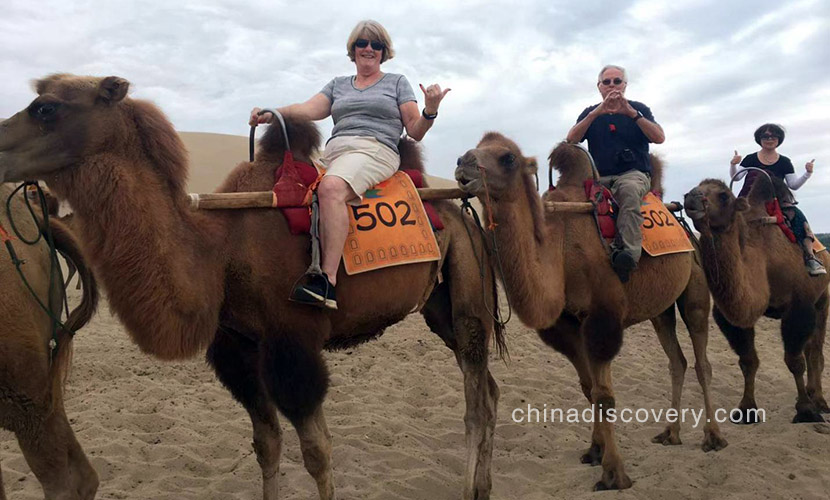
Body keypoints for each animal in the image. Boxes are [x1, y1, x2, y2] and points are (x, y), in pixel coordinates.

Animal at [456, 135, 728, 490]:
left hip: (694, 284)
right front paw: (595, 451)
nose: (463, 162)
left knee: (701, 360)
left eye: (507, 158)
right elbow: (588, 388)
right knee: (676, 361)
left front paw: (614, 473)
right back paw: (670, 433)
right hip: (660, 309)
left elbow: (604, 395)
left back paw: (714, 437)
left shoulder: (602, 320)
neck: (558, 249)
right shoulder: (567, 324)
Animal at [684, 178, 828, 424]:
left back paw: (819, 401)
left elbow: (794, 360)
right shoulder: (730, 316)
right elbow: (748, 360)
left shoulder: (799, 306)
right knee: (811, 348)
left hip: (823, 299)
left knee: (815, 351)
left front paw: (806, 410)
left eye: (724, 195)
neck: (764, 262)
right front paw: (746, 410)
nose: (691, 197)